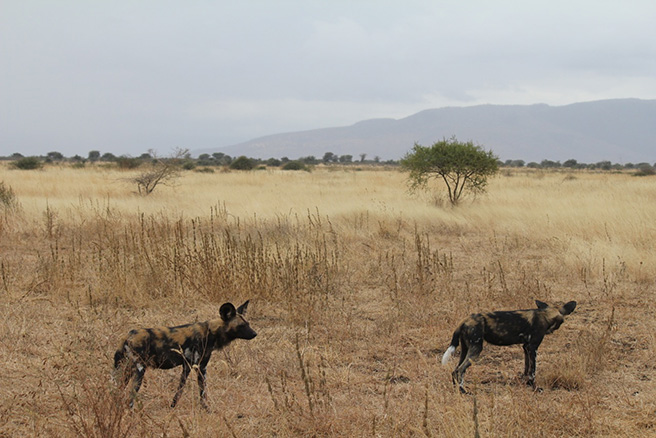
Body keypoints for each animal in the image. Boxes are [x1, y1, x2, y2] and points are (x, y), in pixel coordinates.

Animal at [113, 300, 256, 408]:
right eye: (241, 326)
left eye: (248, 324)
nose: (255, 334)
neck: (211, 332)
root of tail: (127, 336)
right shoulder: (192, 366)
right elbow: (186, 390)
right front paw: (175, 406)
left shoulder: (198, 367)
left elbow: (198, 391)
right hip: (139, 370)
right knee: (131, 395)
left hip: (127, 370)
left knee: (119, 389)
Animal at [440, 300, 576, 392]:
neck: (545, 315)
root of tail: (465, 320)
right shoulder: (533, 347)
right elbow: (532, 371)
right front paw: (535, 387)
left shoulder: (526, 347)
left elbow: (526, 368)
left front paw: (526, 383)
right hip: (476, 349)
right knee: (459, 370)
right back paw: (463, 391)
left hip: (465, 349)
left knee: (455, 370)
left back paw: (457, 389)